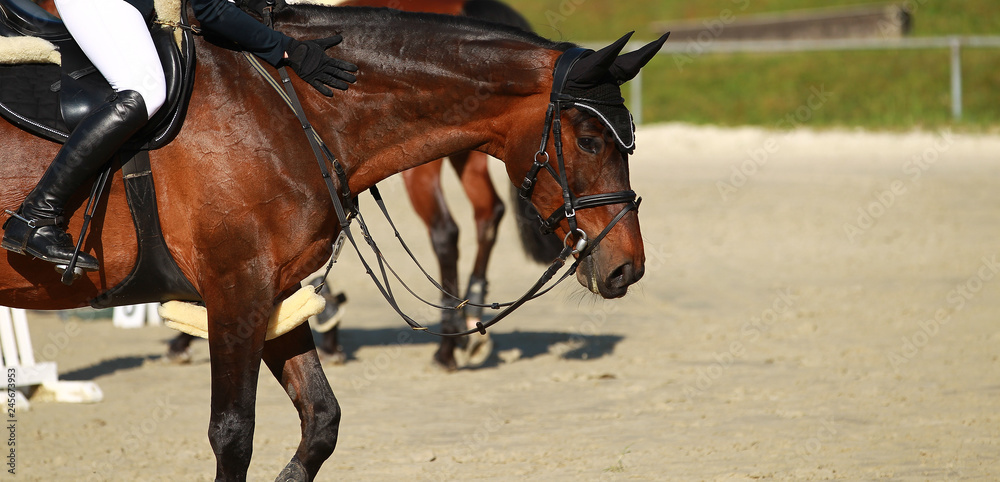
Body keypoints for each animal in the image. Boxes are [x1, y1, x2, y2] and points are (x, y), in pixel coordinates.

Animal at [1, 3, 660, 479]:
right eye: (590, 141)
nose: (626, 267)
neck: (293, 109)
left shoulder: (273, 291)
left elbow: (320, 421)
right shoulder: (236, 291)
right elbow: (233, 434)